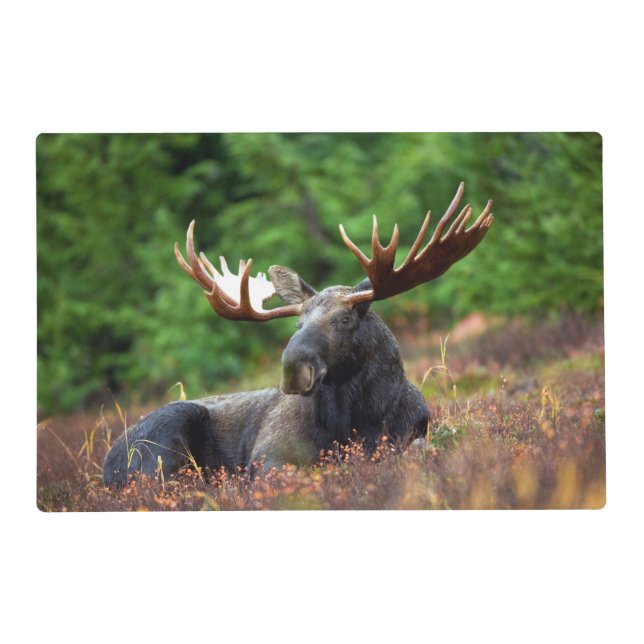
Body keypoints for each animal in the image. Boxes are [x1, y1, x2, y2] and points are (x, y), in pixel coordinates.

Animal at [102, 182, 493, 487]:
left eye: (345, 319)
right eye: (297, 324)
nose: (293, 369)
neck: (360, 419)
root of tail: (106, 465)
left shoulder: (413, 435)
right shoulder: (268, 455)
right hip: (166, 437)